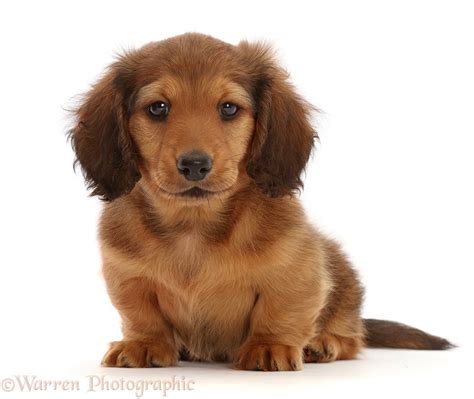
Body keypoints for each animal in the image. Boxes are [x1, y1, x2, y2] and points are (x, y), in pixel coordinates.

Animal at [69, 32, 452, 372]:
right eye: (158, 108)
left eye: (228, 108)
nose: (195, 165)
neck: (194, 226)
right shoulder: (127, 277)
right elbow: (142, 314)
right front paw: (143, 344)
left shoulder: (297, 270)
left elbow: (280, 309)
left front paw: (271, 346)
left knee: (352, 336)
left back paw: (322, 343)